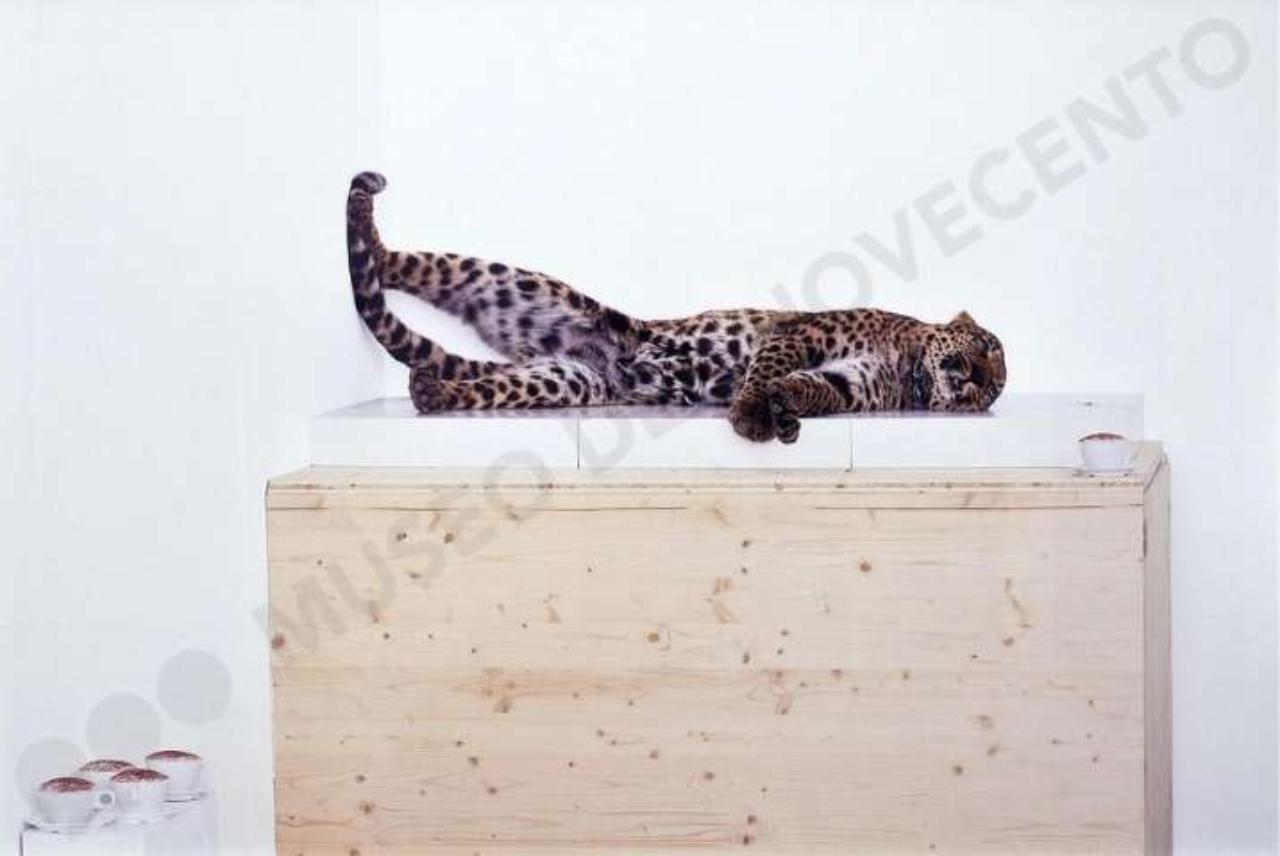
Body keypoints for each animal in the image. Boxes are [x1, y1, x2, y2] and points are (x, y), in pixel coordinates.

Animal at [346, 172, 1007, 444]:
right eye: (984, 349)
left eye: (987, 389)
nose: (968, 375)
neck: (909, 365)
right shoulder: (802, 333)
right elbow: (765, 371)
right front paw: (752, 414)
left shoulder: (853, 385)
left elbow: (815, 390)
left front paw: (786, 406)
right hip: (528, 289)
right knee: (409, 263)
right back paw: (370, 232)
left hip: (566, 382)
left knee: (485, 385)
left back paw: (432, 390)